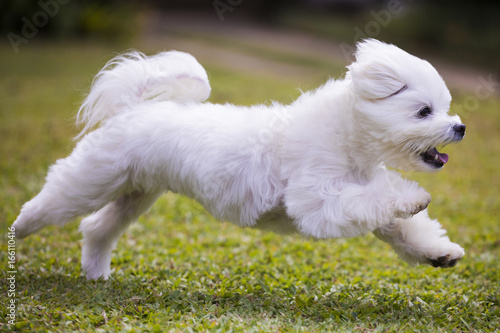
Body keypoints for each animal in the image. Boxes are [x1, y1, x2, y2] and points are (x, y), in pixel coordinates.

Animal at [10, 39, 464, 278]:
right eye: (424, 111)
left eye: (446, 108)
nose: (459, 127)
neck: (346, 135)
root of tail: (133, 108)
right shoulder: (318, 201)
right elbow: (381, 200)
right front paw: (413, 197)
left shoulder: (356, 195)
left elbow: (401, 227)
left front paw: (438, 253)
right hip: (92, 180)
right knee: (49, 205)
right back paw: (18, 234)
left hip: (136, 194)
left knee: (97, 228)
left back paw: (97, 274)